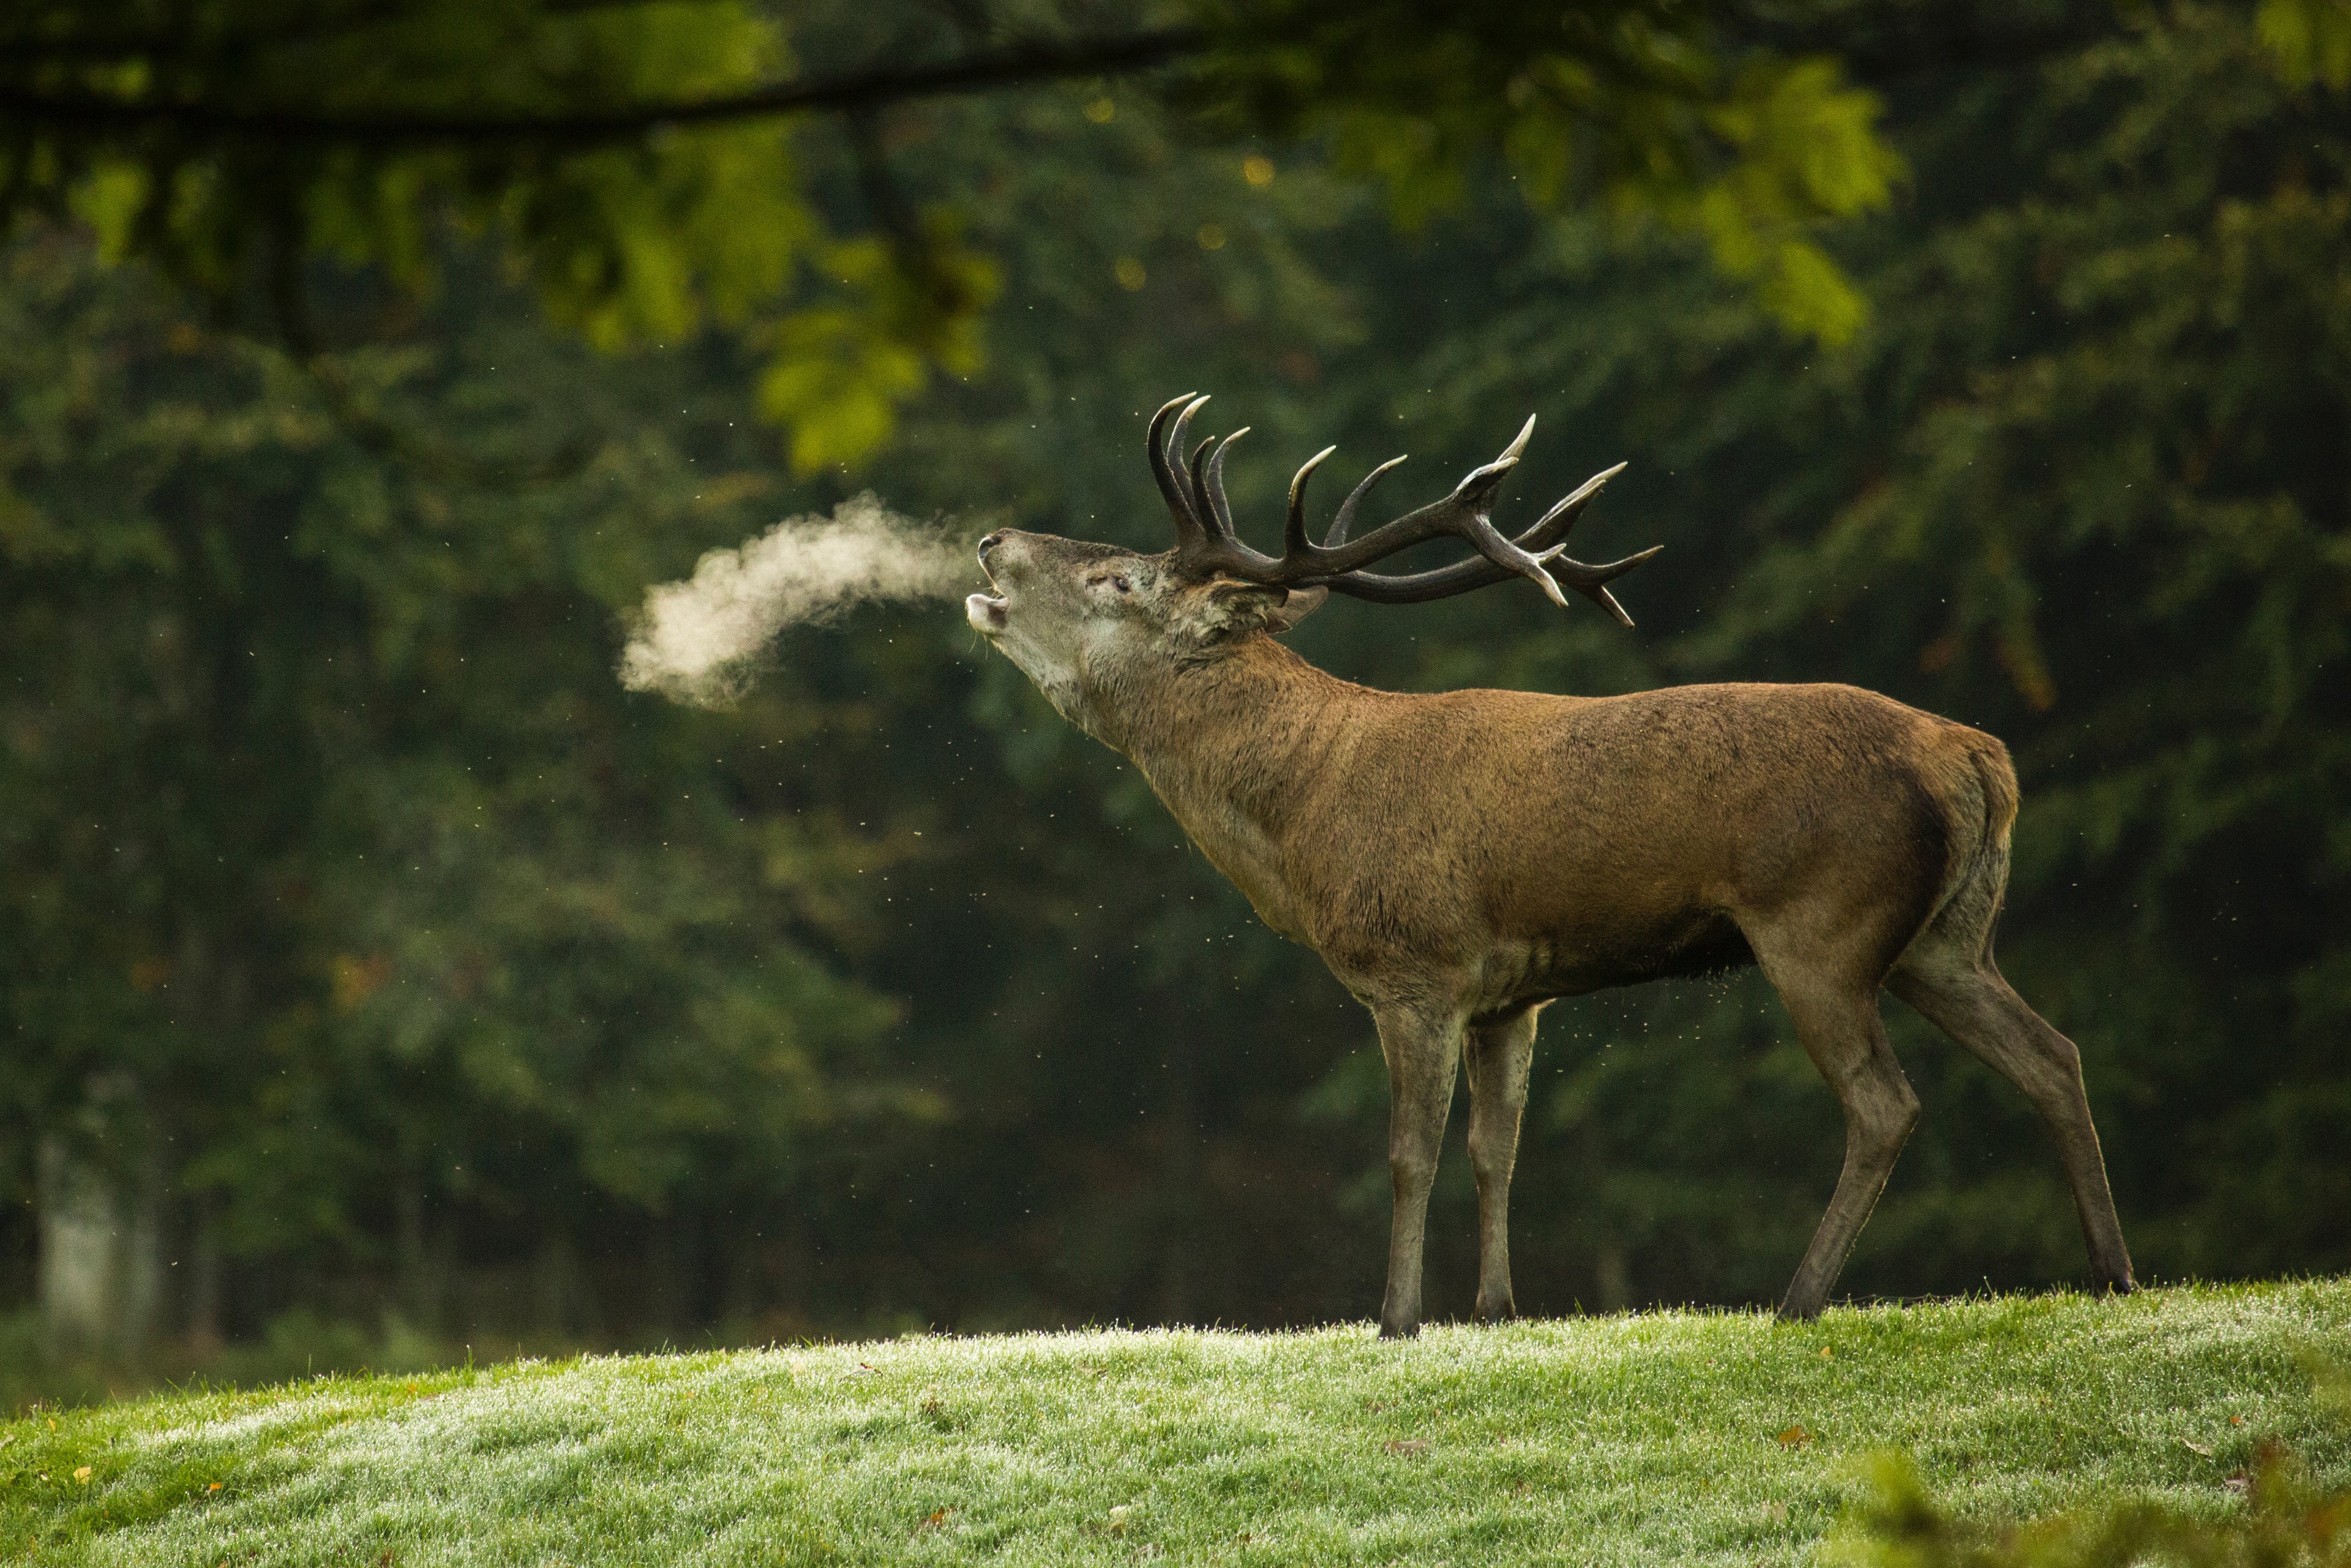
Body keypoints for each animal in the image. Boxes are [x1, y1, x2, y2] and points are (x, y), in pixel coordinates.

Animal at [964, 392, 2144, 1335]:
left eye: (1118, 578)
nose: (990, 542)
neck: (1308, 819)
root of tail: (1982, 760)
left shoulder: (1418, 968)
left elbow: (1410, 1154)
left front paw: (1396, 1319)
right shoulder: (1511, 994)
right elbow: (1499, 1148)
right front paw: (1496, 1308)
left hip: (1823, 923)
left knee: (1885, 1104)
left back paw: (1798, 1299)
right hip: (1946, 937)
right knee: (2054, 1053)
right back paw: (2113, 1272)